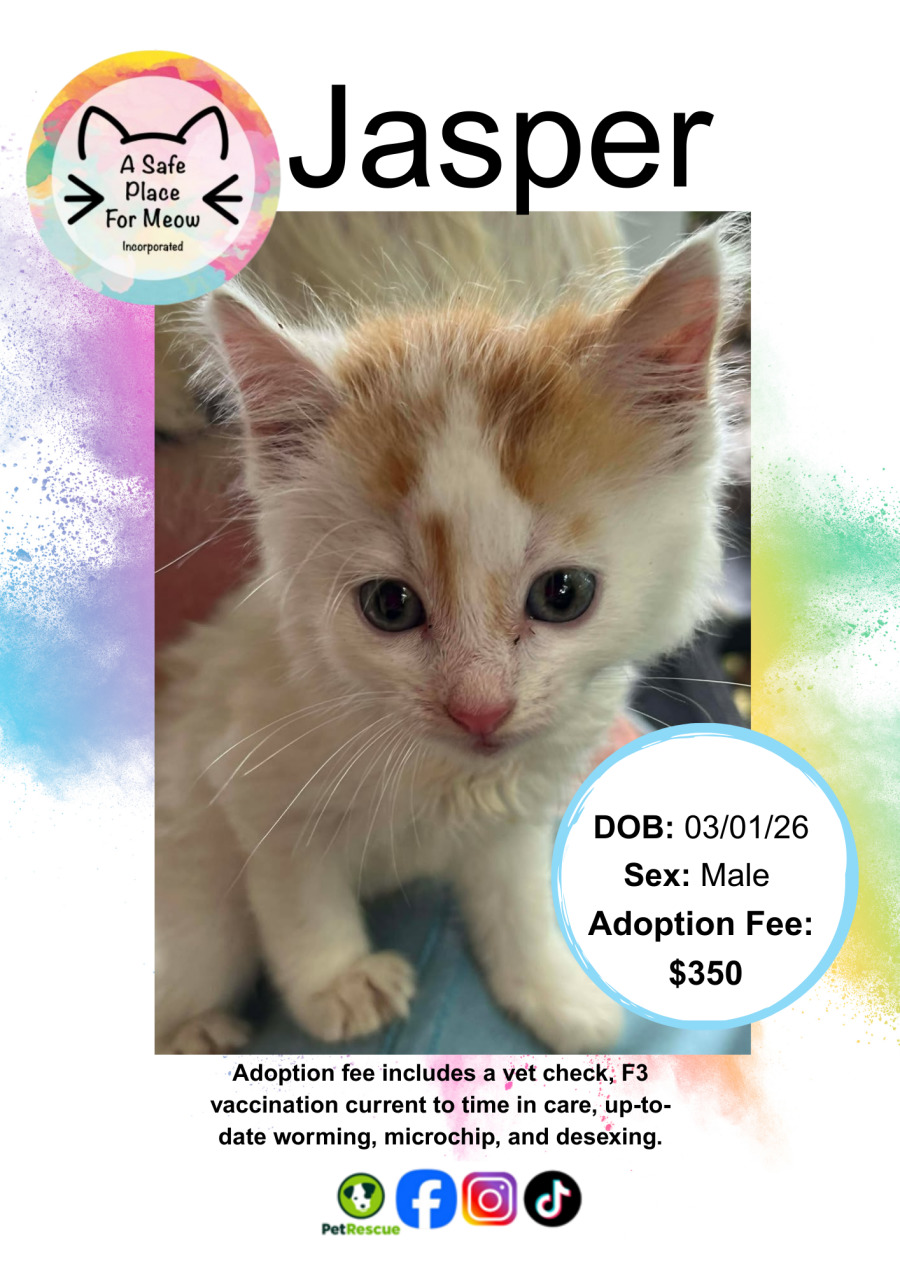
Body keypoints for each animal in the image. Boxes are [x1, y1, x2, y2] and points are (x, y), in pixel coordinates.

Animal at [155, 213, 745, 1054]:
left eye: (564, 594)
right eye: (390, 606)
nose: (479, 708)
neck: (446, 777)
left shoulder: (517, 807)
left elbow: (516, 903)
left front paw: (554, 993)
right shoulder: (250, 772)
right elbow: (297, 893)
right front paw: (338, 983)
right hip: (194, 911)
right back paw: (195, 1032)